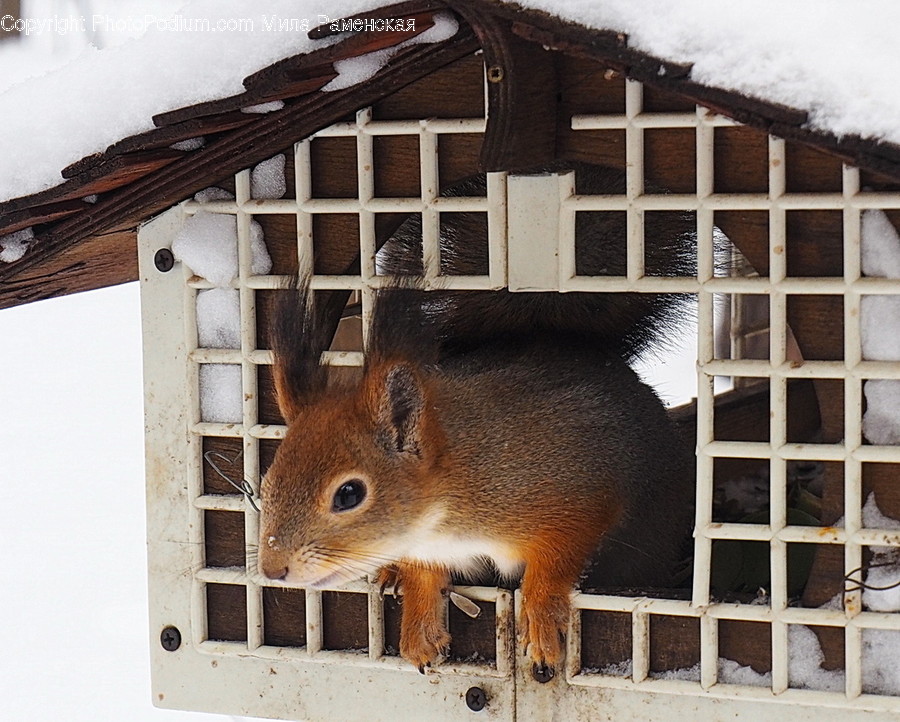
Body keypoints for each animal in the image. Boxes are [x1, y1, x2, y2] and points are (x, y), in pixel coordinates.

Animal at [258, 164, 696, 678]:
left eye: (349, 494)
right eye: (265, 483)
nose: (273, 570)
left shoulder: (573, 494)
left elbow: (558, 558)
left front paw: (541, 619)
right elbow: (425, 576)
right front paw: (419, 628)